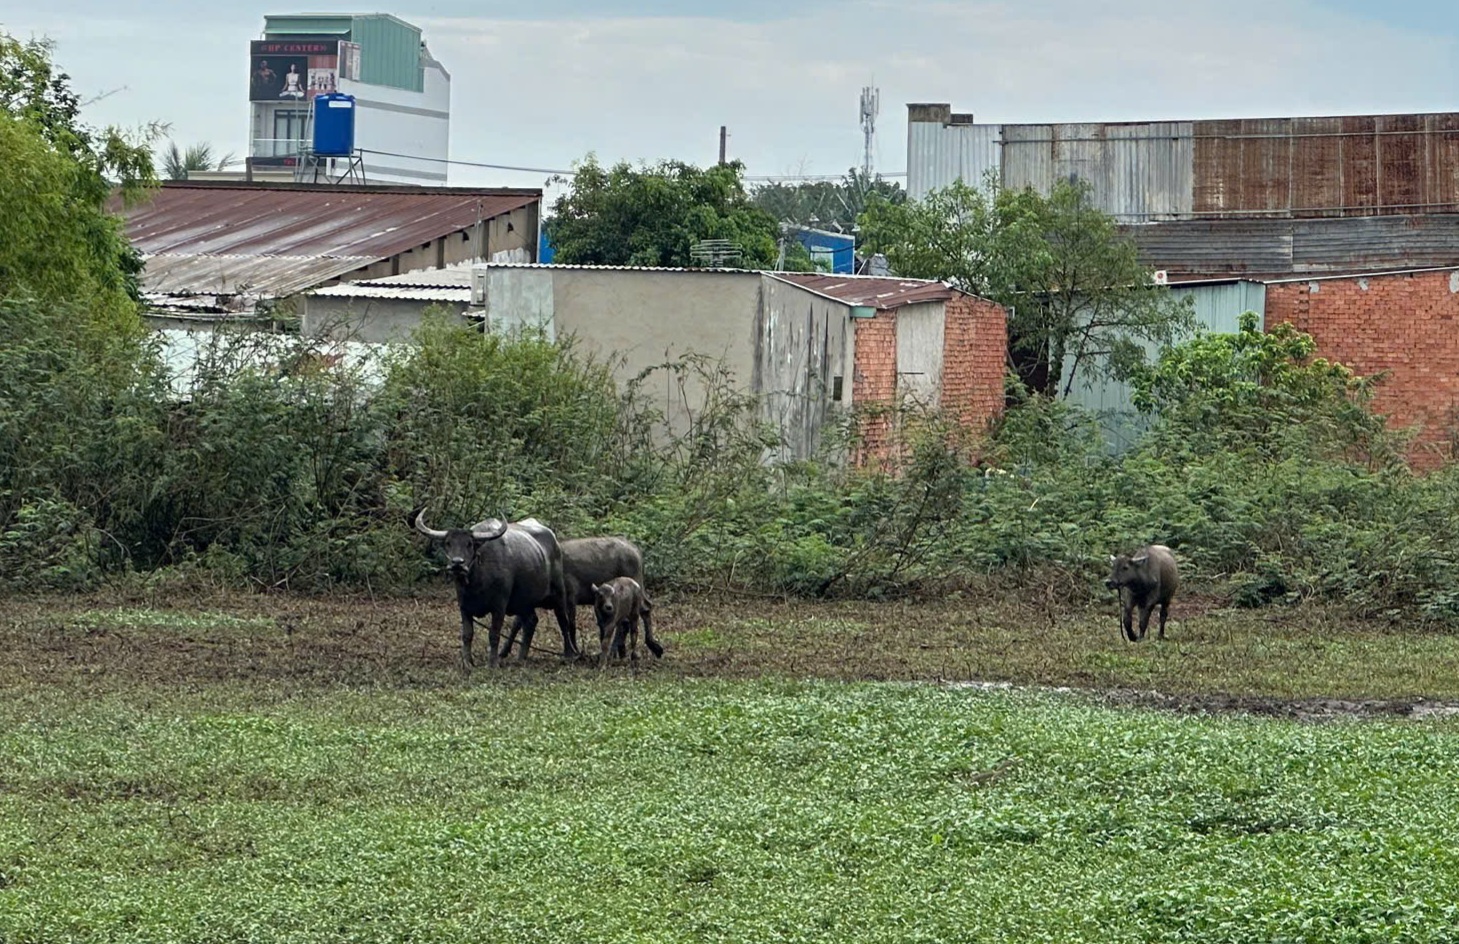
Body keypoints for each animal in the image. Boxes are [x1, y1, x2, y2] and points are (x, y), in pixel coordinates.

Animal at [411, 510, 574, 671]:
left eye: (469, 544)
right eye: (448, 543)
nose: (457, 563)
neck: (476, 582)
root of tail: (555, 542)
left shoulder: (499, 606)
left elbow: (494, 634)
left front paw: (492, 663)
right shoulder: (464, 606)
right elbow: (467, 634)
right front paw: (467, 662)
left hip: (558, 592)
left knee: (563, 621)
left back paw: (568, 655)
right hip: (524, 603)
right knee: (530, 621)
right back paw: (520, 657)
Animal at [501, 536, 662, 662]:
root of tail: (635, 550)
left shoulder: (570, 599)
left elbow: (570, 625)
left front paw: (574, 651)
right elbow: (516, 624)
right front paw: (504, 650)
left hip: (636, 585)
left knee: (644, 608)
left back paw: (647, 646)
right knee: (629, 619)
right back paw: (623, 650)